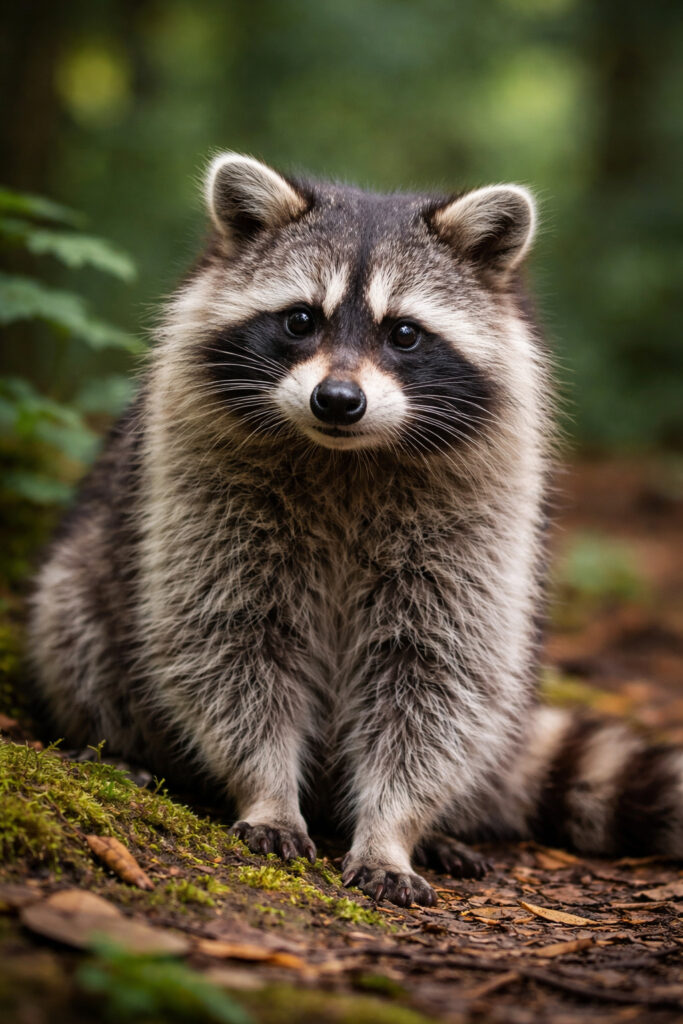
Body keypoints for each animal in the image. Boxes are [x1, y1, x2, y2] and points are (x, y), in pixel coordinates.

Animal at [30, 154, 683, 907]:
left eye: (403, 333)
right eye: (299, 320)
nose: (337, 401)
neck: (346, 457)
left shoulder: (479, 518)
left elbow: (440, 678)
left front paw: (392, 831)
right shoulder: (198, 490)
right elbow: (226, 645)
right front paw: (267, 792)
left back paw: (441, 829)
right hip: (83, 575)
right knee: (75, 626)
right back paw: (119, 748)